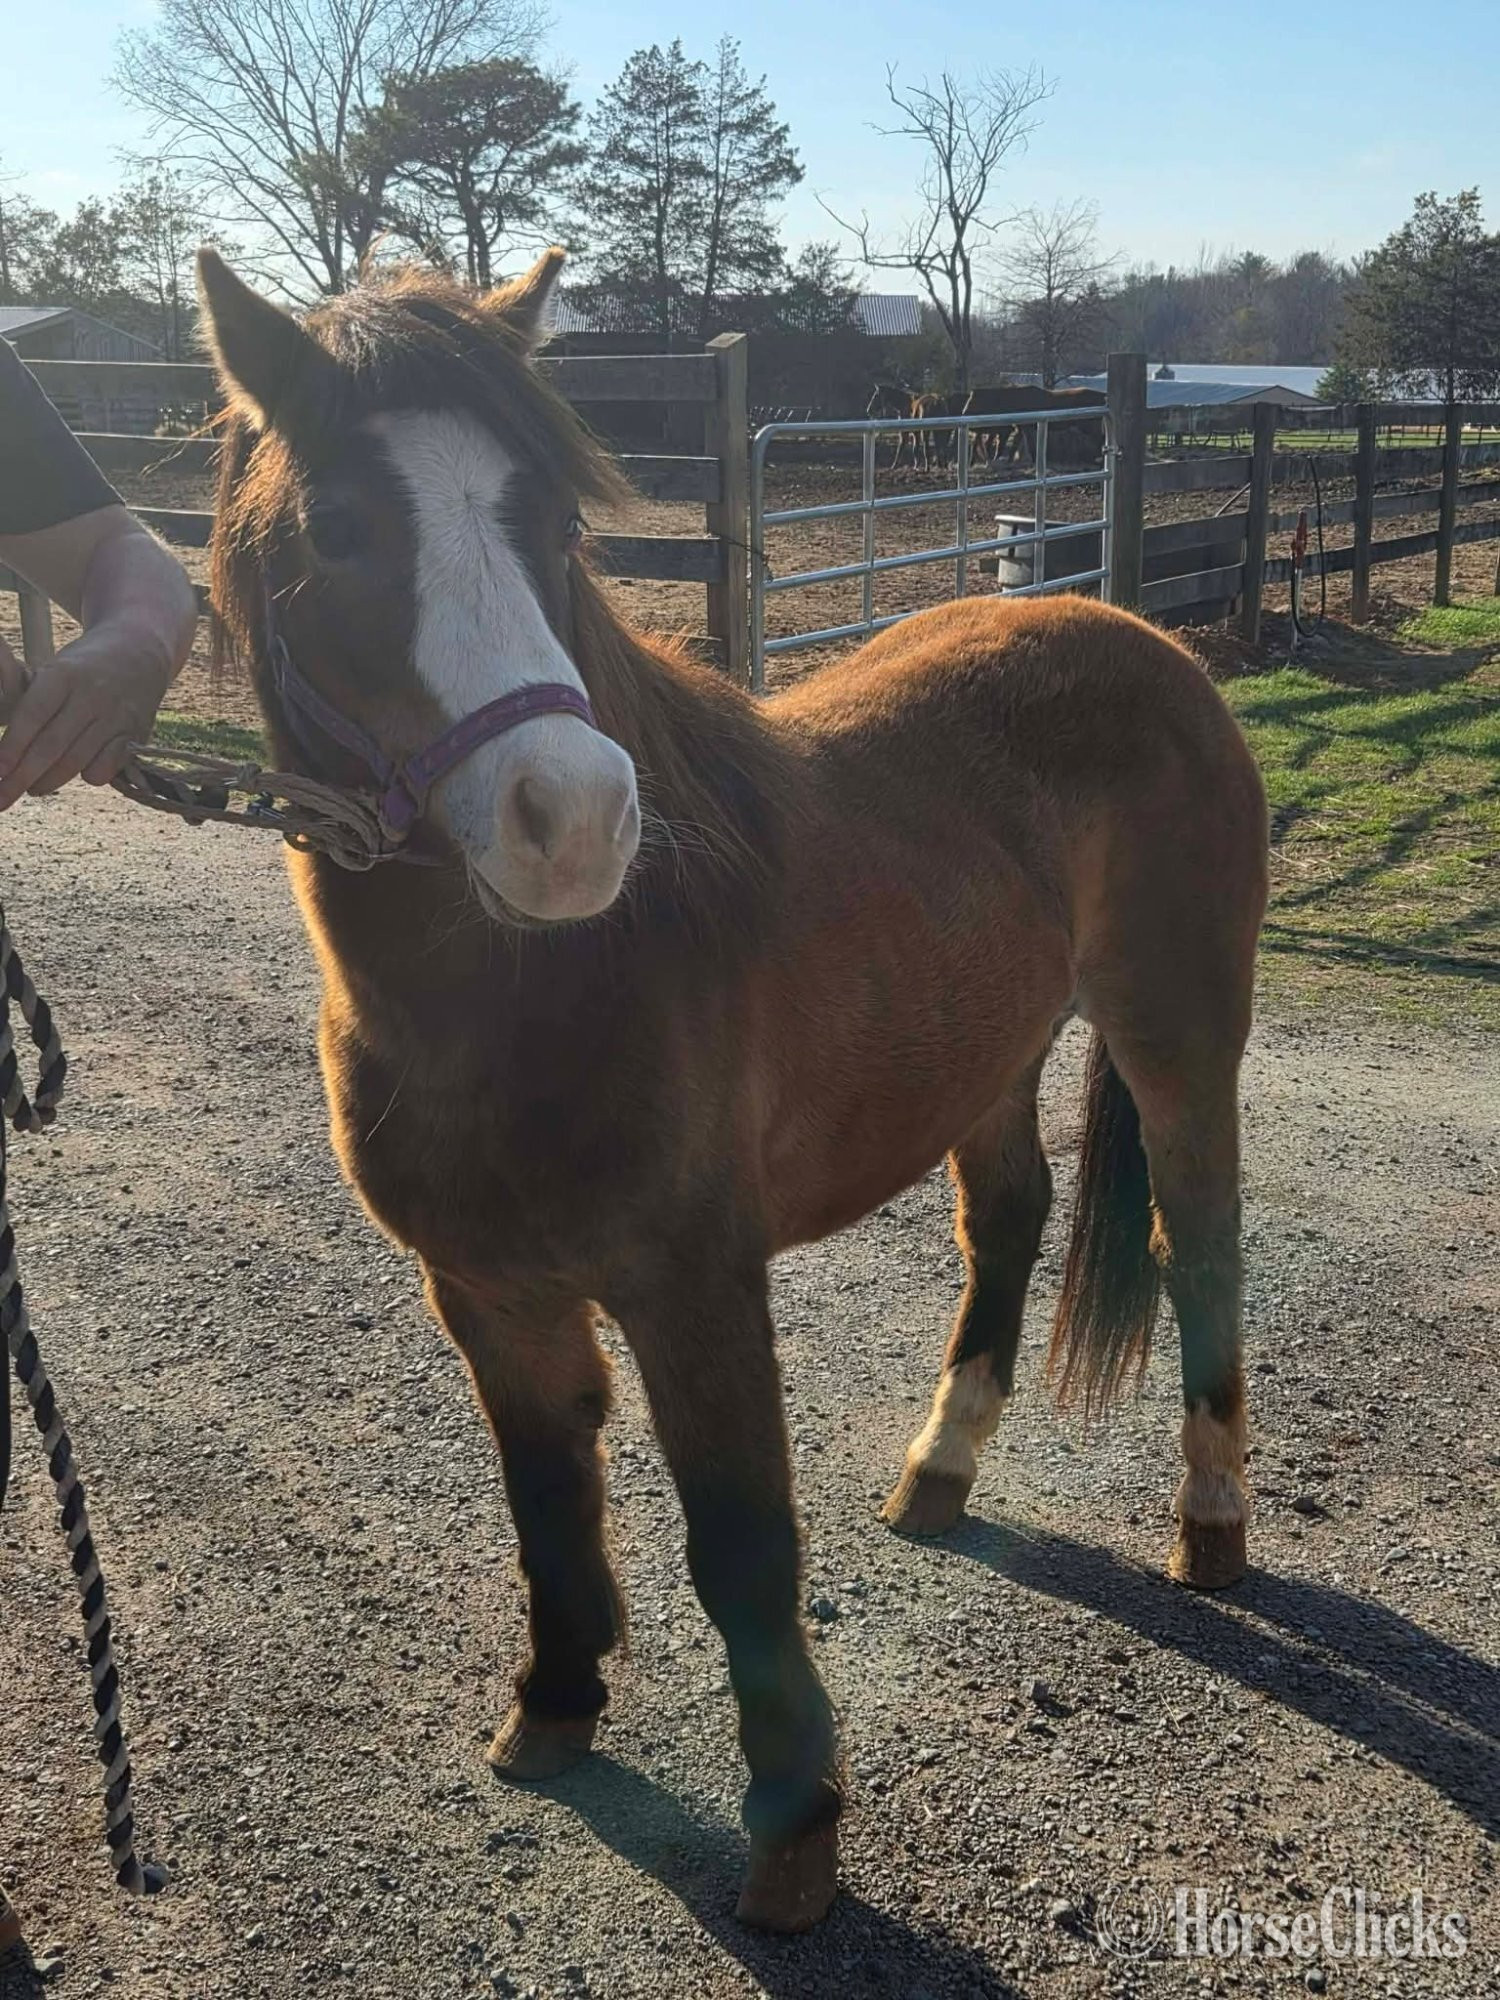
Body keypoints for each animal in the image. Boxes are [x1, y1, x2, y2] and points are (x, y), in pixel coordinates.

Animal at [197, 245, 1269, 1936]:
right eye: (341, 528)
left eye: (555, 522)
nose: (576, 822)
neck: (533, 995)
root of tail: (1148, 642)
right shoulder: (486, 1291)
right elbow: (548, 1499)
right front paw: (554, 1709)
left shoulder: (696, 1286)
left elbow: (741, 1546)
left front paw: (795, 1832)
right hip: (987, 1054)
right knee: (1011, 1221)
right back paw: (939, 1470)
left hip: (1178, 1035)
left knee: (1201, 1245)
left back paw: (1210, 1526)